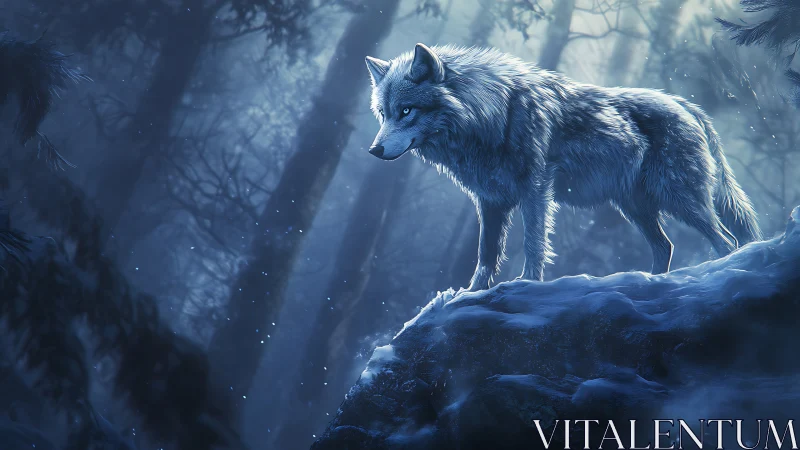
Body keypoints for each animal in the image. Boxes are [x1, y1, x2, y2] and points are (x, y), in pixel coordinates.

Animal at [364, 43, 762, 291]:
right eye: (383, 114)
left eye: (406, 111)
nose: (373, 149)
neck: (492, 115)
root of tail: (683, 103)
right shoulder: (490, 202)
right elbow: (486, 253)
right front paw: (470, 294)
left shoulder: (536, 192)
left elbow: (533, 243)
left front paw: (526, 283)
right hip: (635, 207)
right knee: (665, 246)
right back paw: (652, 285)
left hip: (678, 199)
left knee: (725, 240)